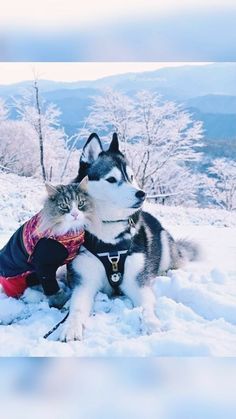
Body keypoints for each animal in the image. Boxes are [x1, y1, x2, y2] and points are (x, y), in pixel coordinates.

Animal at [59, 133, 199, 342]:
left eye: (131, 177)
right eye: (111, 179)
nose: (142, 194)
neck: (109, 238)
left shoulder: (136, 282)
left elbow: (147, 305)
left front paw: (151, 324)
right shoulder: (85, 281)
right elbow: (77, 307)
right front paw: (71, 326)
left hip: (164, 244)